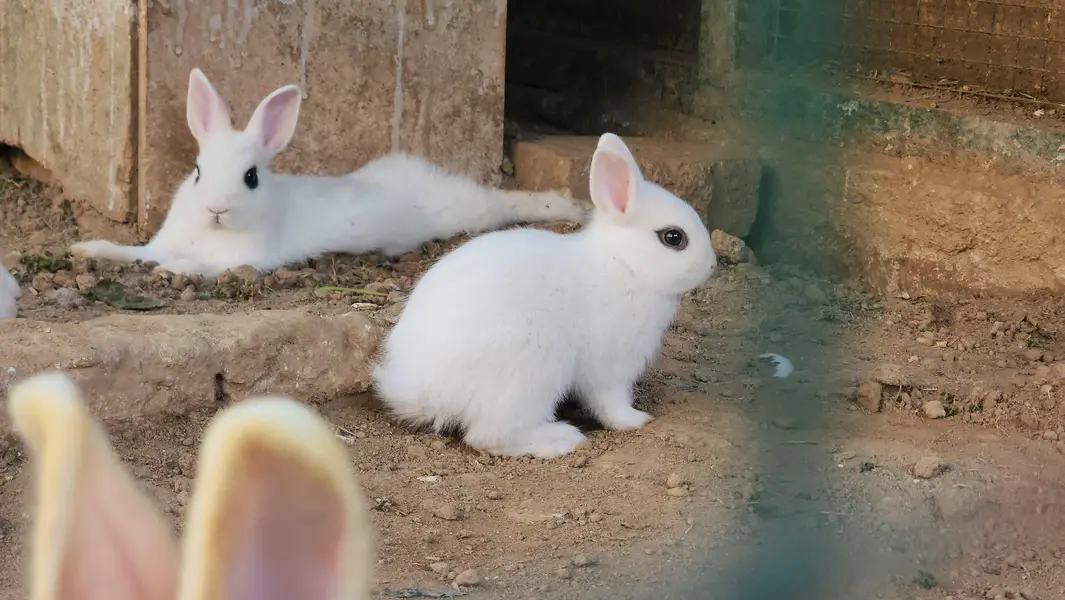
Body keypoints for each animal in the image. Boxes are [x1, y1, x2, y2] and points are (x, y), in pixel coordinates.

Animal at [70, 68, 588, 278]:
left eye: (251, 177)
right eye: (197, 172)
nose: (216, 208)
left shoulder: (248, 260)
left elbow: (202, 266)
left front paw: (177, 269)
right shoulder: (157, 242)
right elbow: (133, 252)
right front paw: (86, 249)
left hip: (466, 212)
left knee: (502, 204)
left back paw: (567, 205)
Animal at [372, 133, 718, 459]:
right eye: (673, 237)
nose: (712, 264)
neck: (623, 264)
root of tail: (425, 392)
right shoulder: (610, 364)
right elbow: (610, 402)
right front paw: (636, 420)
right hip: (530, 373)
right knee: (487, 437)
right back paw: (560, 440)